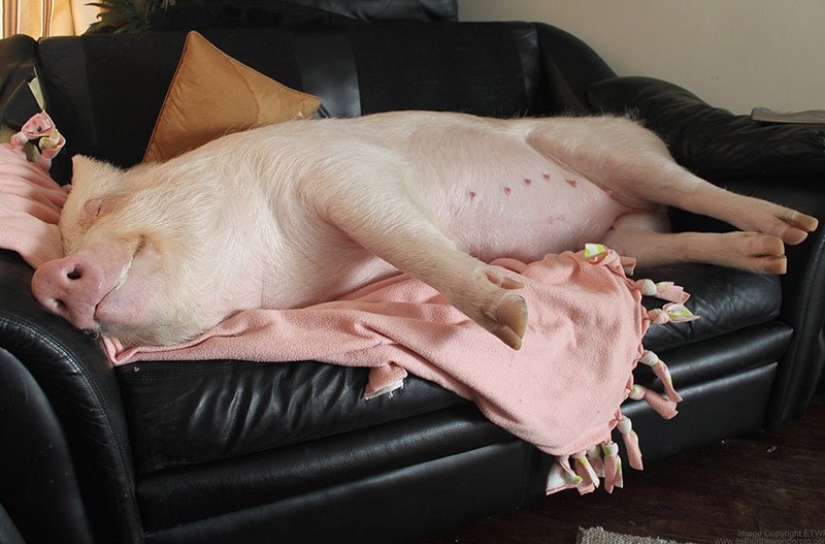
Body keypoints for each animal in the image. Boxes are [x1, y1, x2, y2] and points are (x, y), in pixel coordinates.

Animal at [31, 112, 819, 350]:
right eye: (60, 244)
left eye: (100, 209)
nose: (43, 279)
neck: (276, 266)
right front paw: (515, 305)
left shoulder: (343, 174)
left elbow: (400, 236)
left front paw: (515, 323)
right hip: (629, 235)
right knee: (663, 239)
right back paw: (772, 256)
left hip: (615, 152)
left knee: (699, 188)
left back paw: (796, 226)